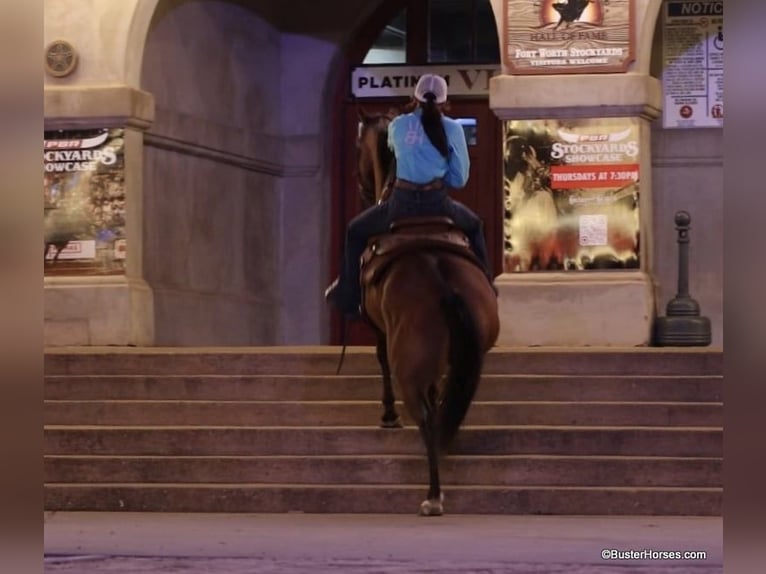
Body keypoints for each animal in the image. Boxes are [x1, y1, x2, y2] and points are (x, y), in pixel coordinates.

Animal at [356, 109, 500, 516]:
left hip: (410, 365)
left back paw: (433, 495)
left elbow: (379, 359)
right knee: (446, 404)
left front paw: (388, 417)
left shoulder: (379, 330)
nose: (362, 188)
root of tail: (441, 279)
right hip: (460, 356)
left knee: (425, 416)